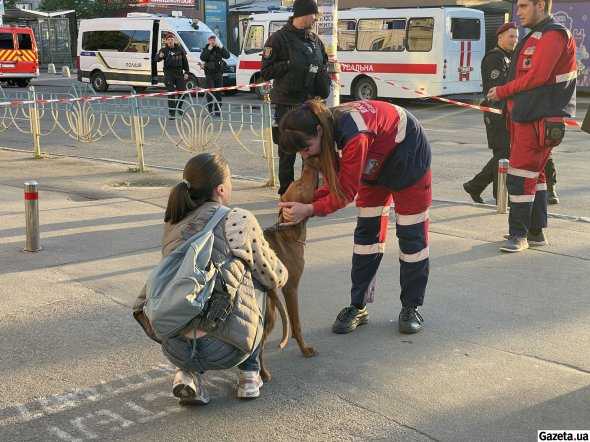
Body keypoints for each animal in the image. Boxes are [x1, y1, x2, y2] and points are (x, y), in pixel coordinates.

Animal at [262, 157, 322, 382]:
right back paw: (262, 373)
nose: (310, 161)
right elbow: (296, 324)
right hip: (272, 312)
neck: (288, 232)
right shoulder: (291, 289)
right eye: (300, 185)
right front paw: (305, 350)